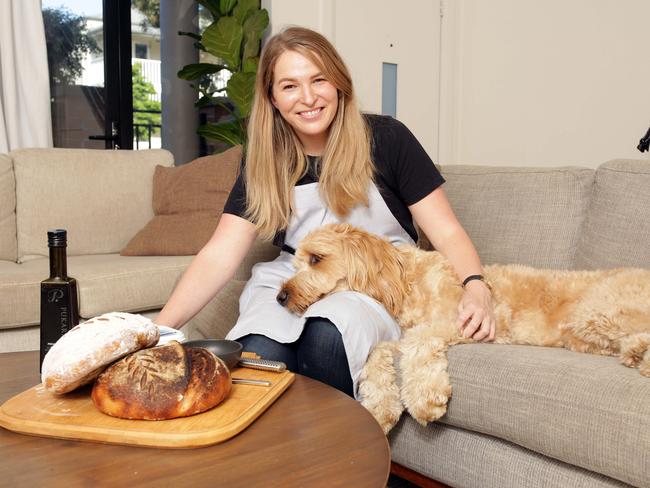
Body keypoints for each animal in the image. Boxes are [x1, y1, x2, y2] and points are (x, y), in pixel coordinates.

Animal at [278, 223, 648, 432]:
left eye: (316, 259)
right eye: (295, 263)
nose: (281, 297)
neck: (406, 280)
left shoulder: (450, 323)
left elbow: (417, 342)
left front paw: (425, 399)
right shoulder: (398, 336)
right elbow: (377, 354)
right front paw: (381, 408)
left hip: (597, 313)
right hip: (586, 334)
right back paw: (635, 355)